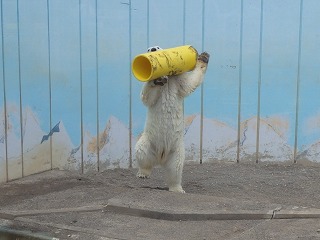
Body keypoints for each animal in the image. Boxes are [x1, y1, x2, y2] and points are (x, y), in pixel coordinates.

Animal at [135, 47, 210, 193]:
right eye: (149, 49)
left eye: (157, 47)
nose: (153, 49)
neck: (168, 79)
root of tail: (160, 157)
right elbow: (147, 98)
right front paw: (157, 80)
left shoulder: (177, 79)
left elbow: (189, 83)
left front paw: (203, 57)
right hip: (148, 141)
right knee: (142, 152)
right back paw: (143, 173)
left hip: (177, 149)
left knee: (175, 168)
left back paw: (177, 189)